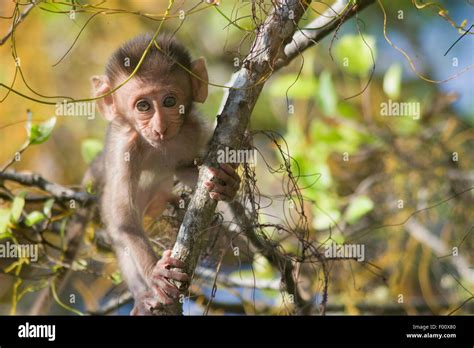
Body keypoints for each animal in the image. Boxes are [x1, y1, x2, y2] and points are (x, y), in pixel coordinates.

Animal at [86, 35, 239, 316]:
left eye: (169, 101)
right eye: (143, 106)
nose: (160, 128)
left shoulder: (193, 130)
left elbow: (187, 169)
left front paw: (228, 185)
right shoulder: (124, 147)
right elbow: (123, 219)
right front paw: (155, 274)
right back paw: (142, 296)